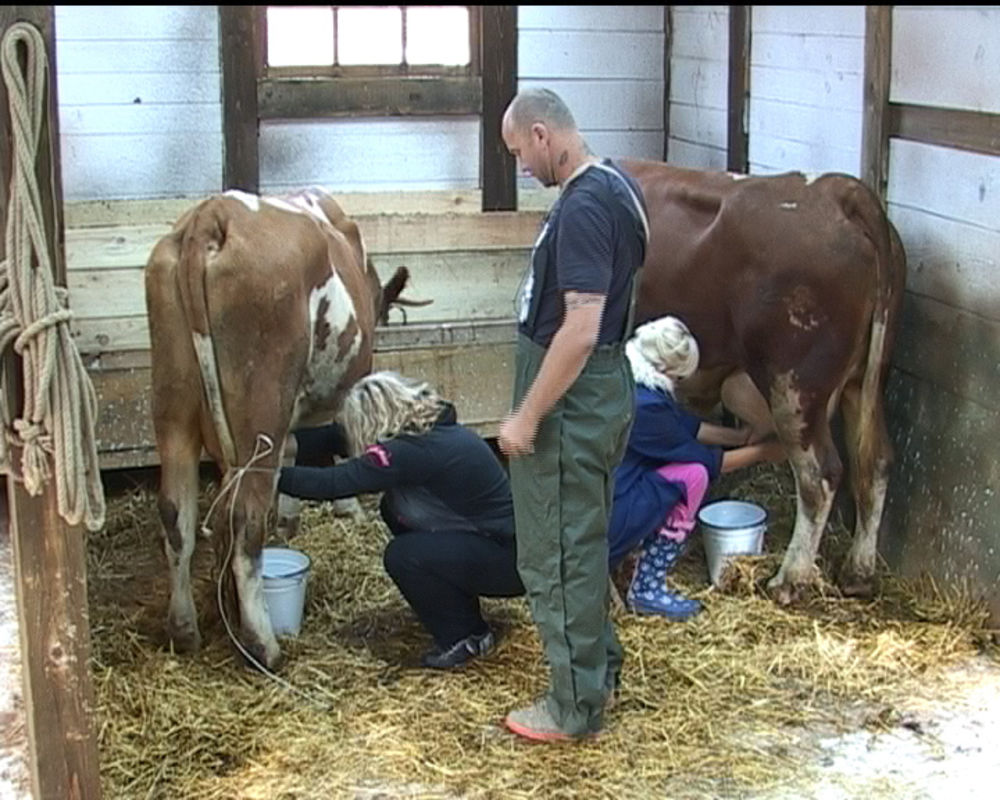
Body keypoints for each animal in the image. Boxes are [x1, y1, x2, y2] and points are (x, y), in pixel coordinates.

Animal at [145, 189, 402, 668]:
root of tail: (213, 213)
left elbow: (294, 454)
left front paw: (289, 517)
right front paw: (348, 509)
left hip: (174, 407)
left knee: (176, 515)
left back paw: (185, 629)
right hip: (262, 406)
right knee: (245, 522)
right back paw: (263, 644)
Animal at [624, 161, 908, 600]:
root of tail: (837, 190)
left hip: (793, 385)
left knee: (820, 475)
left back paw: (789, 579)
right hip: (865, 382)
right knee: (875, 461)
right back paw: (858, 572)